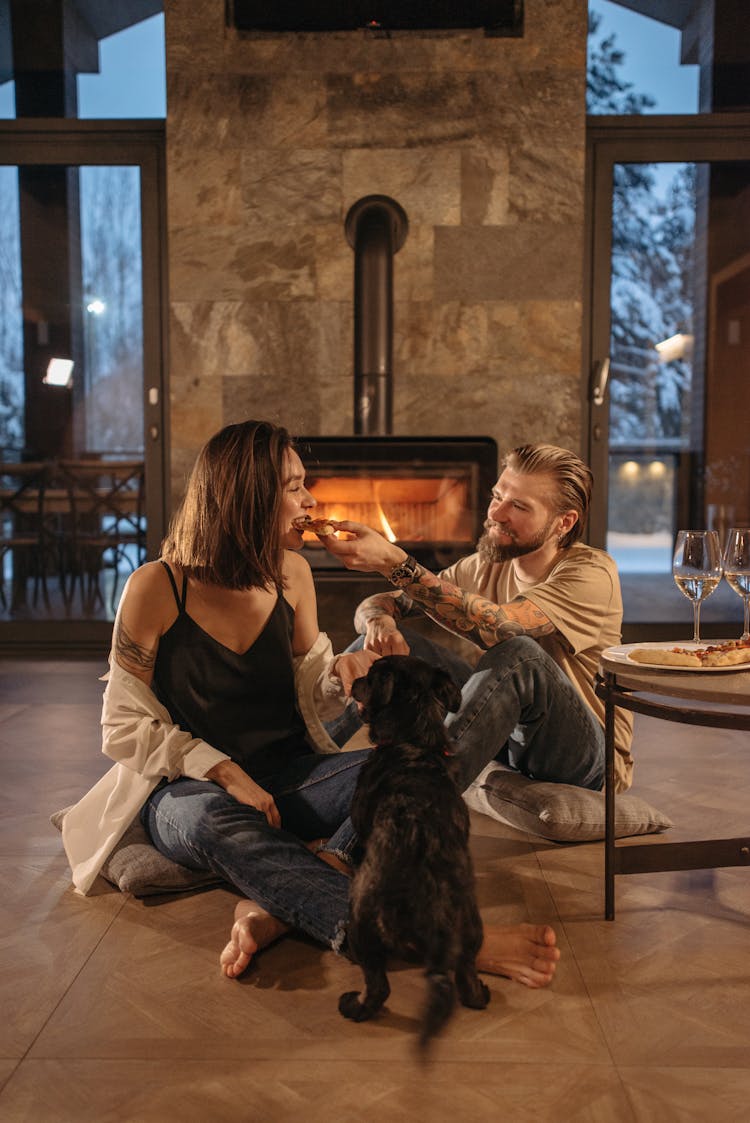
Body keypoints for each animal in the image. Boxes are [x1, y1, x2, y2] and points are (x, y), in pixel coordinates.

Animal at [339, 655, 491, 1046]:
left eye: (371, 677)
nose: (355, 681)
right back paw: (480, 994)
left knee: (377, 987)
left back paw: (353, 1007)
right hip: (471, 928)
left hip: (361, 922)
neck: (415, 744)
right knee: (466, 976)